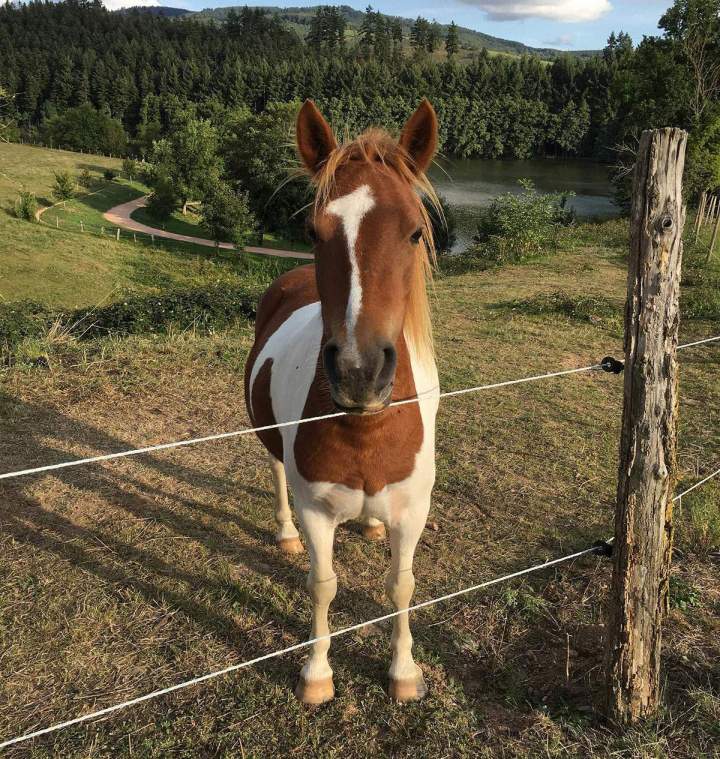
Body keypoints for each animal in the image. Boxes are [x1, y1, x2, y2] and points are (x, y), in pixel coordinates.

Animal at [244, 98, 440, 704]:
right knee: (275, 471)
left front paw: (404, 671)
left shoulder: (414, 509)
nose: (359, 372)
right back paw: (283, 533)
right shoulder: (317, 511)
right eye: (313, 228)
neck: (366, 429)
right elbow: (323, 585)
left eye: (414, 232)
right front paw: (317, 674)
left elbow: (401, 586)